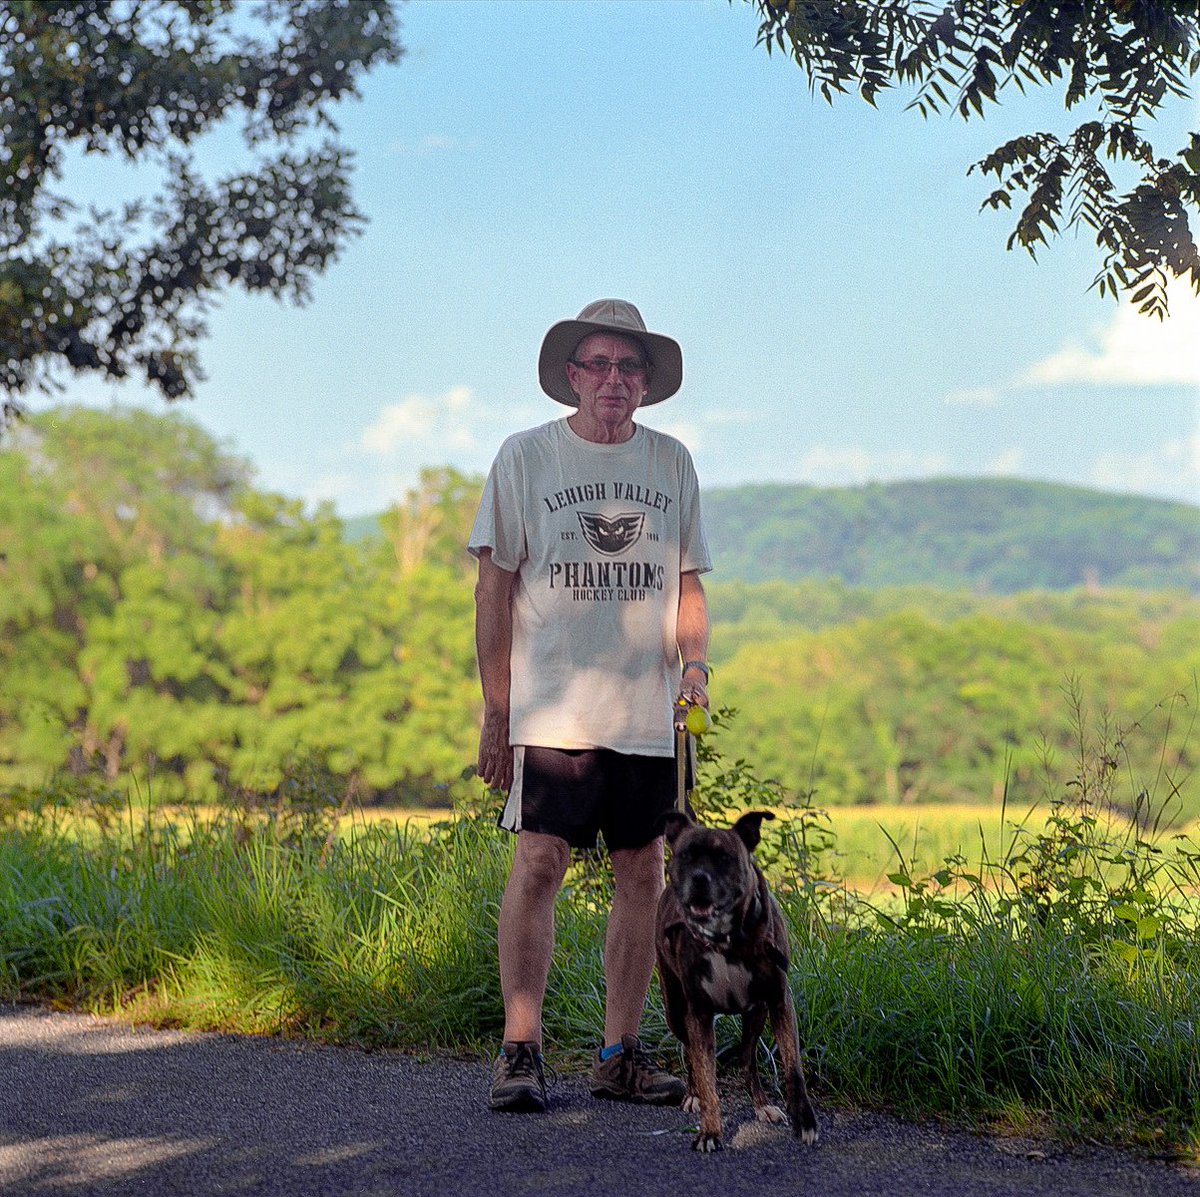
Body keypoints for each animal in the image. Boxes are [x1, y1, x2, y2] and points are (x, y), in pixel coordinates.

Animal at [657, 810, 816, 1156]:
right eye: (686, 855)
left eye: (724, 857)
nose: (699, 878)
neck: (725, 941)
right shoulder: (698, 1014)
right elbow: (707, 1077)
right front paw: (710, 1130)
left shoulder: (779, 1000)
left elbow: (793, 1069)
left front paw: (805, 1121)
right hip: (675, 1010)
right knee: (689, 1052)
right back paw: (692, 1094)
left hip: (755, 1014)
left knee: (747, 1058)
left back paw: (761, 1104)